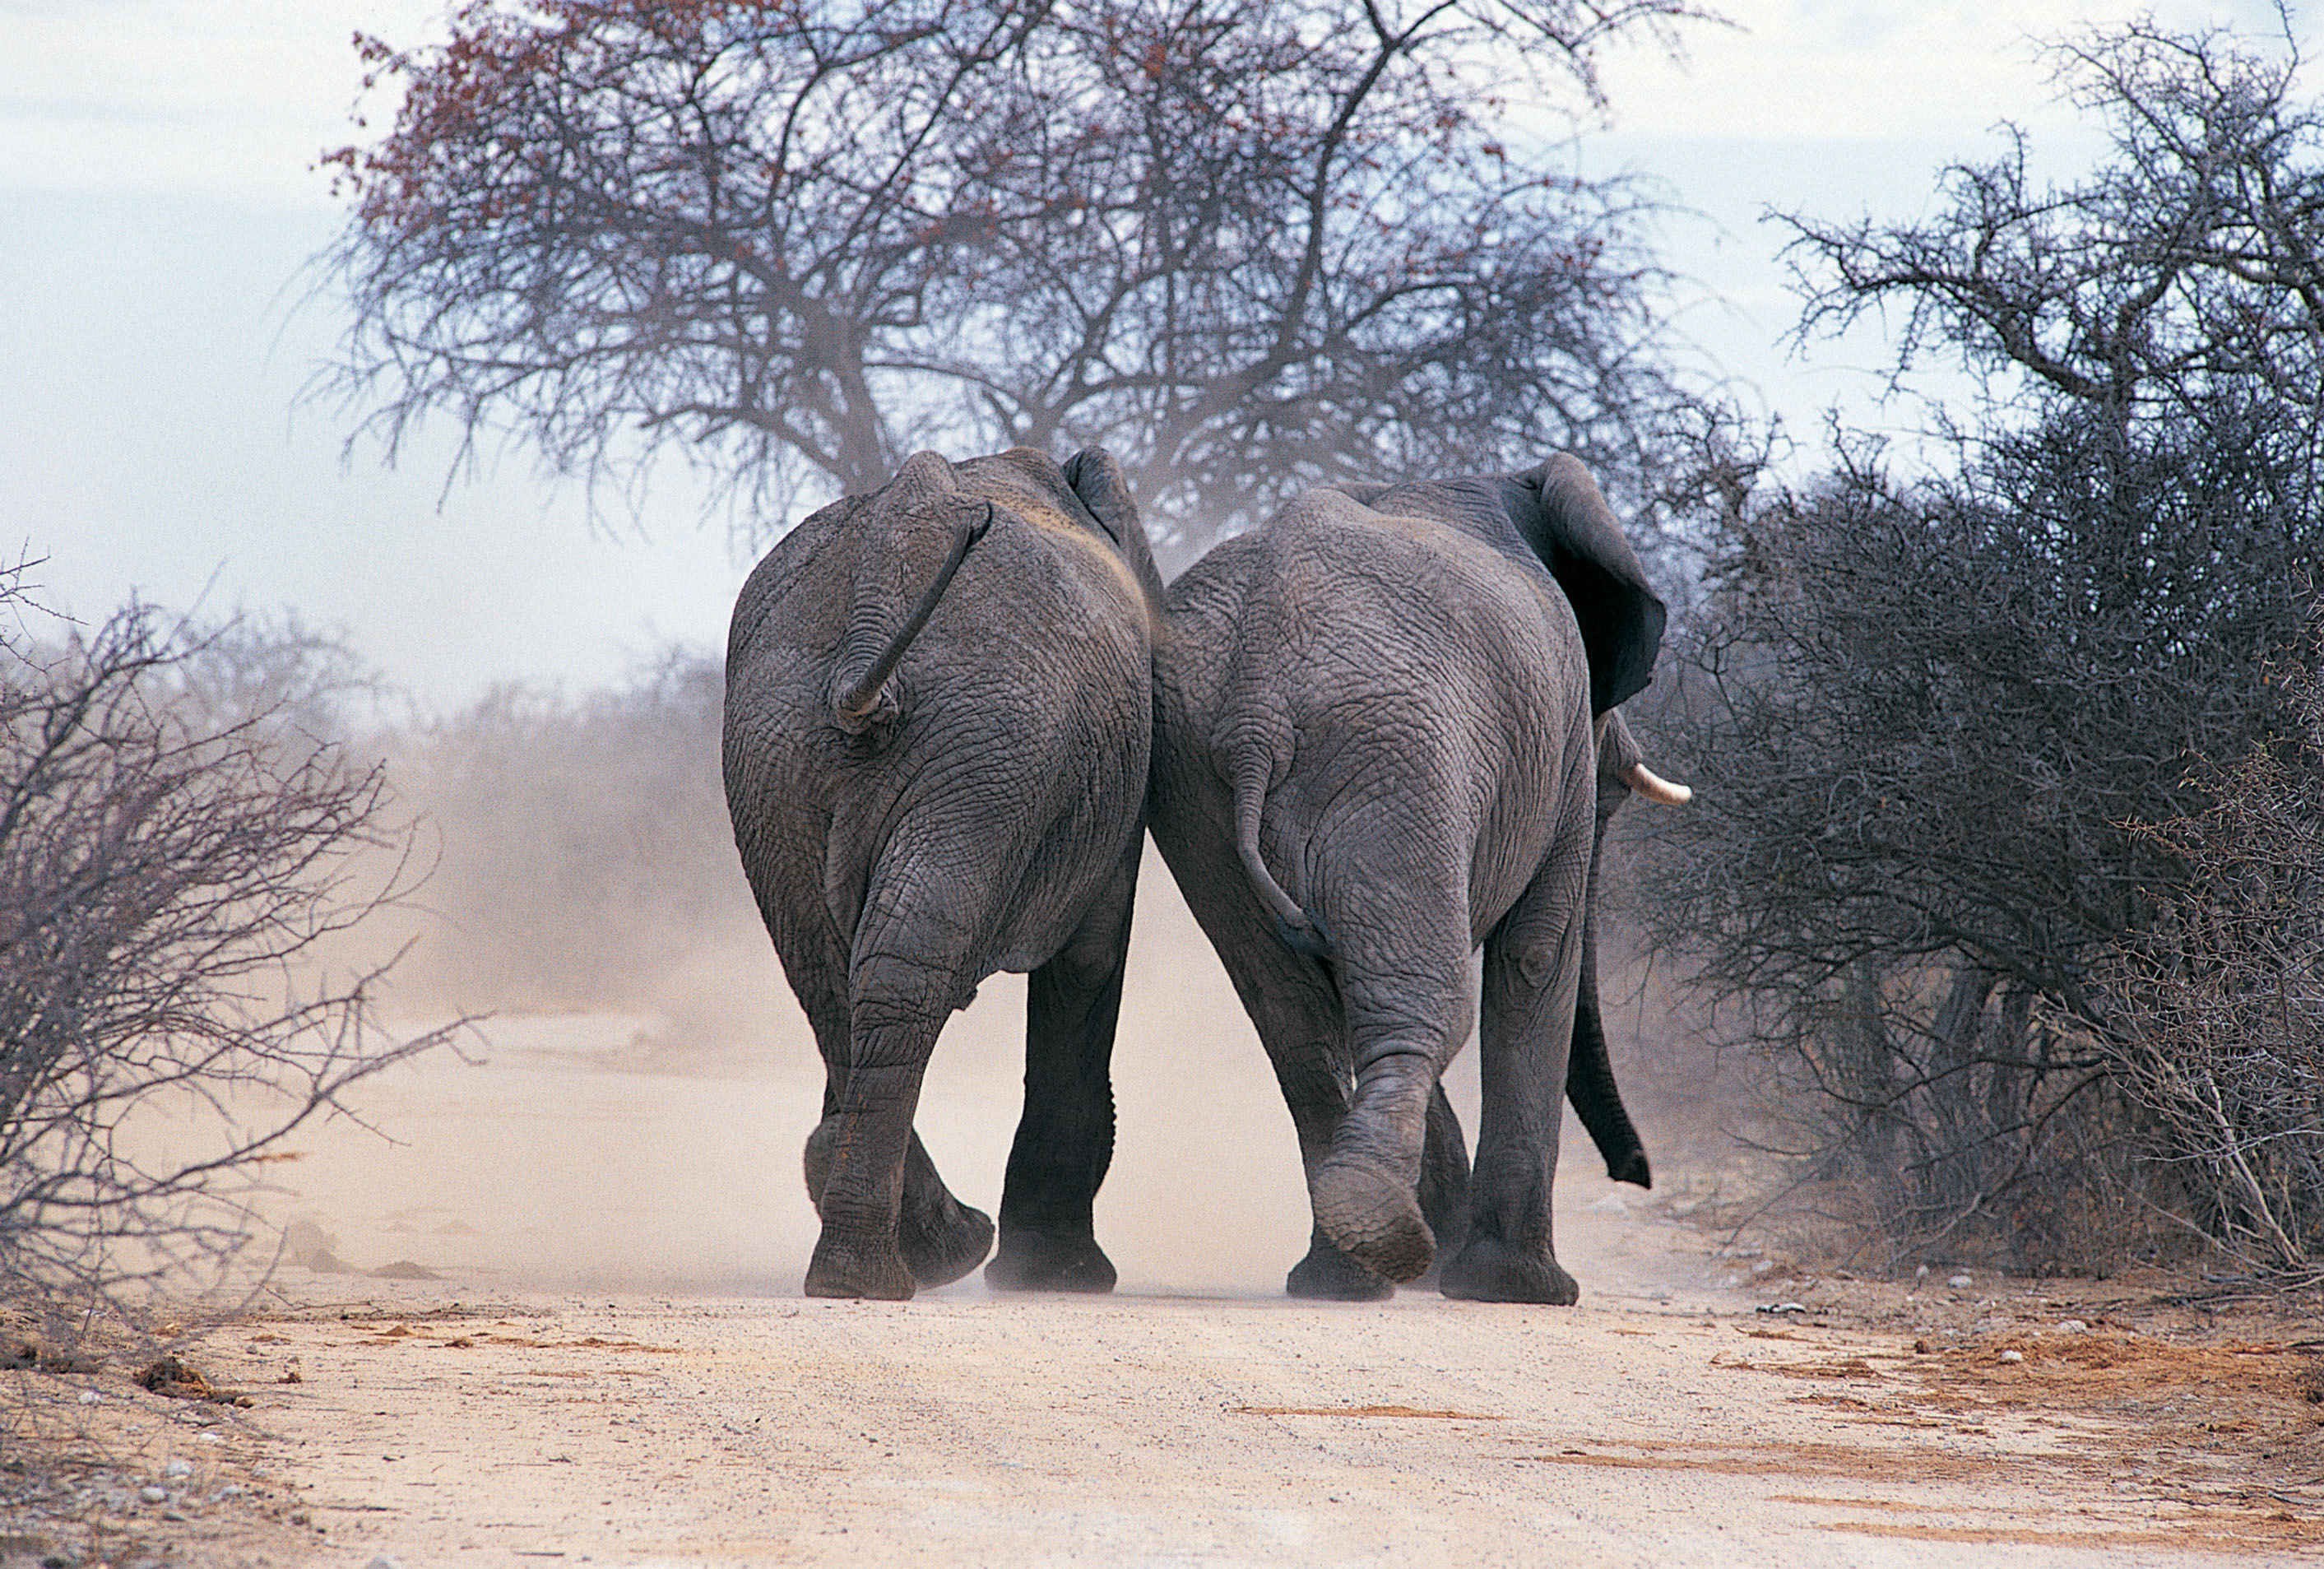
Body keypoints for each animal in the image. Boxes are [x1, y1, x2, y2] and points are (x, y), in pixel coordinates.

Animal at [722, 445, 1162, 1300]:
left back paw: (881, 1264)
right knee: (889, 976)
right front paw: (1062, 1278)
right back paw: (916, 1263)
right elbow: (1090, 959)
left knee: (841, 978)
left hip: (790, 753)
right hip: (991, 747)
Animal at [1142, 453, 1690, 1303]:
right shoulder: (1561, 739)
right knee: (1426, 1006)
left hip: (1197, 779)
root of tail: (1255, 707)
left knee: (1293, 1013)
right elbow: (1537, 955)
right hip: (1395, 756)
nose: (1637, 1176)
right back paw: (1383, 1234)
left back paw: (1345, 1274)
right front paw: (1522, 1289)